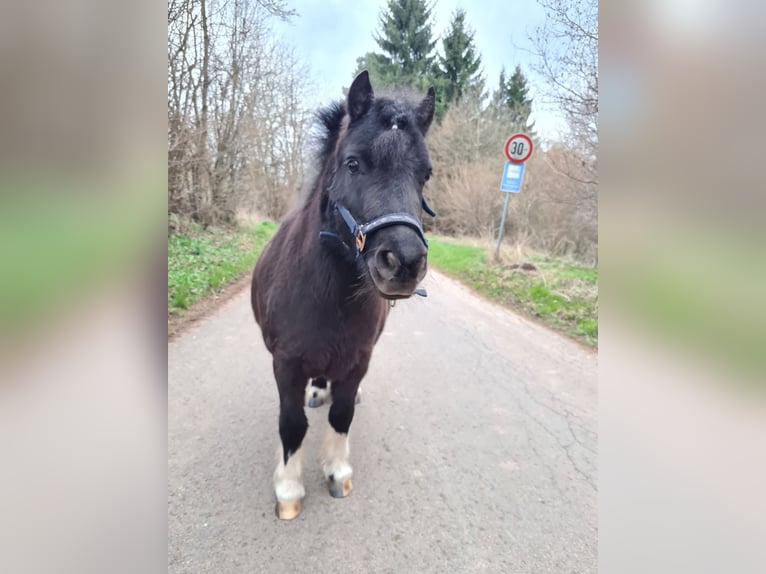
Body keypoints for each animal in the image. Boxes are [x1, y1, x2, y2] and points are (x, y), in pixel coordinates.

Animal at [251, 71, 436, 520]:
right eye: (353, 163)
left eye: (425, 175)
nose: (404, 262)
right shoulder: (286, 364)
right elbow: (291, 424)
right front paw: (289, 489)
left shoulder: (358, 360)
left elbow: (343, 412)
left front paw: (336, 471)